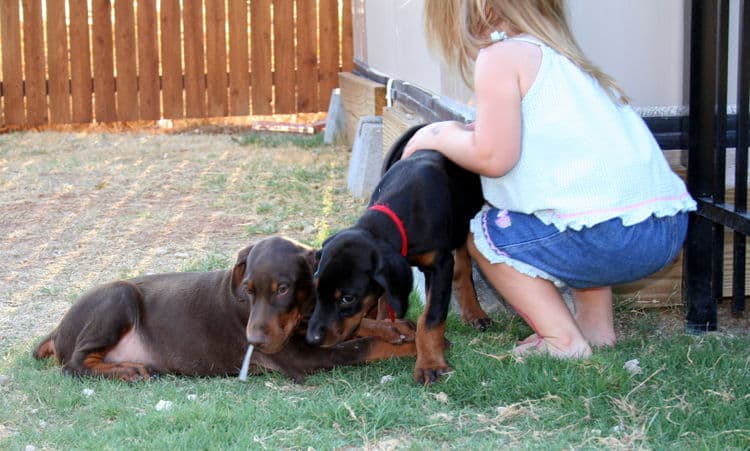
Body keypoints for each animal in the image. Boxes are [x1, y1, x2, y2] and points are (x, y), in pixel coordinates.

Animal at [33, 235, 418, 384]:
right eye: (247, 289)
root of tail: (57, 329)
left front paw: (396, 328)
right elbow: (360, 346)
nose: (255, 342)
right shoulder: (298, 357)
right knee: (75, 364)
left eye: (283, 289)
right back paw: (128, 370)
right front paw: (418, 347)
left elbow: (356, 328)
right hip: (119, 296)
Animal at [308, 123, 490, 384]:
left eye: (347, 298)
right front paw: (388, 328)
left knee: (463, 262)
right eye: (316, 289)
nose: (311, 339)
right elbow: (385, 301)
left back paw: (475, 312)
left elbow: (432, 317)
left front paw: (430, 364)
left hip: (465, 216)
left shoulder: (440, 264)